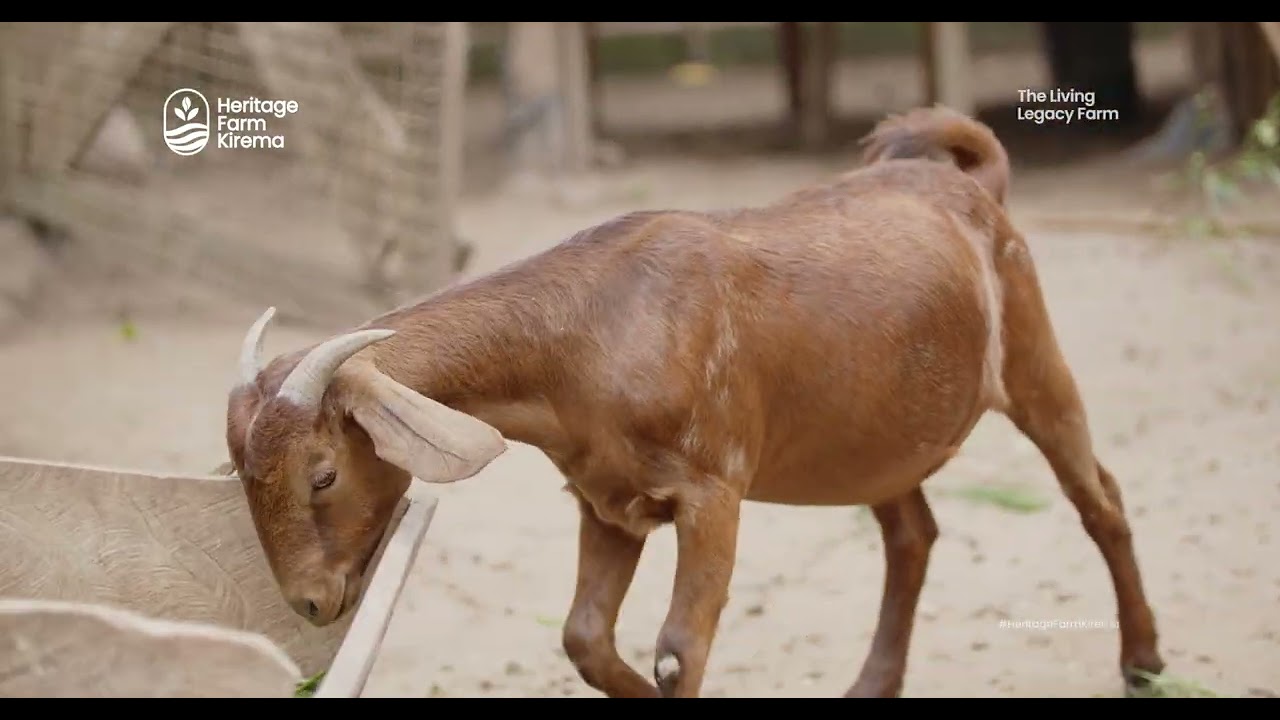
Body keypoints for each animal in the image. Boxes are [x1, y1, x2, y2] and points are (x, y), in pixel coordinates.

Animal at [224, 105, 1165, 698]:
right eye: (240, 474)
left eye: (320, 474)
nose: (310, 603)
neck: (589, 331)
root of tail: (978, 187)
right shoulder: (607, 502)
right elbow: (584, 638)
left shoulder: (713, 491)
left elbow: (680, 651)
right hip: (876, 437)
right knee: (913, 536)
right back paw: (870, 684)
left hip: (1037, 364)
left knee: (1101, 499)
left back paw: (1144, 662)